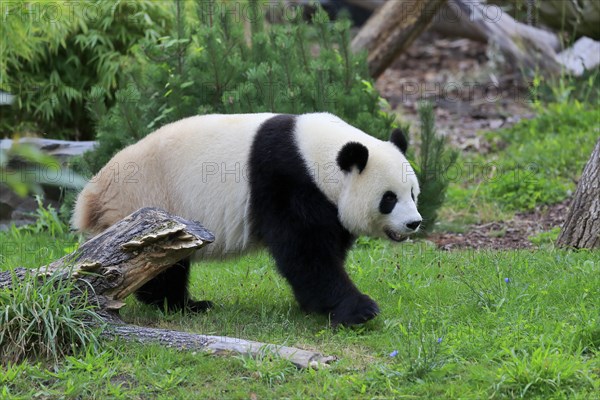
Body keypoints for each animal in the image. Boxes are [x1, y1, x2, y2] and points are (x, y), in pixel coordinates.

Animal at [74, 112, 422, 324]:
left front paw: (317, 306)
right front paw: (359, 309)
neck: (317, 154)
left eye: (413, 193)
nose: (414, 223)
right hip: (151, 204)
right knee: (160, 264)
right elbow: (306, 253)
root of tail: (90, 197)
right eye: (389, 199)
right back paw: (180, 305)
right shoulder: (287, 181)